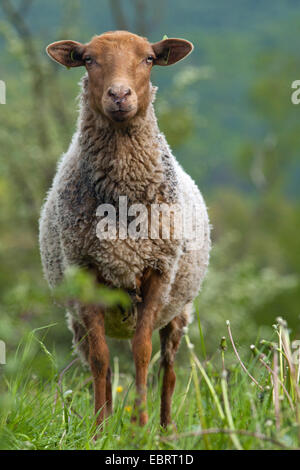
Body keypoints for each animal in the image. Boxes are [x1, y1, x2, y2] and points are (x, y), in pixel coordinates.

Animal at [39, 30, 211, 430]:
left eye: (148, 58)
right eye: (88, 59)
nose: (119, 95)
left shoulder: (158, 271)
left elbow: (142, 353)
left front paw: (140, 426)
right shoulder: (85, 270)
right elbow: (101, 359)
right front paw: (99, 430)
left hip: (179, 311)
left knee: (168, 371)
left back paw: (165, 428)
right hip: (80, 318)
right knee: (97, 362)